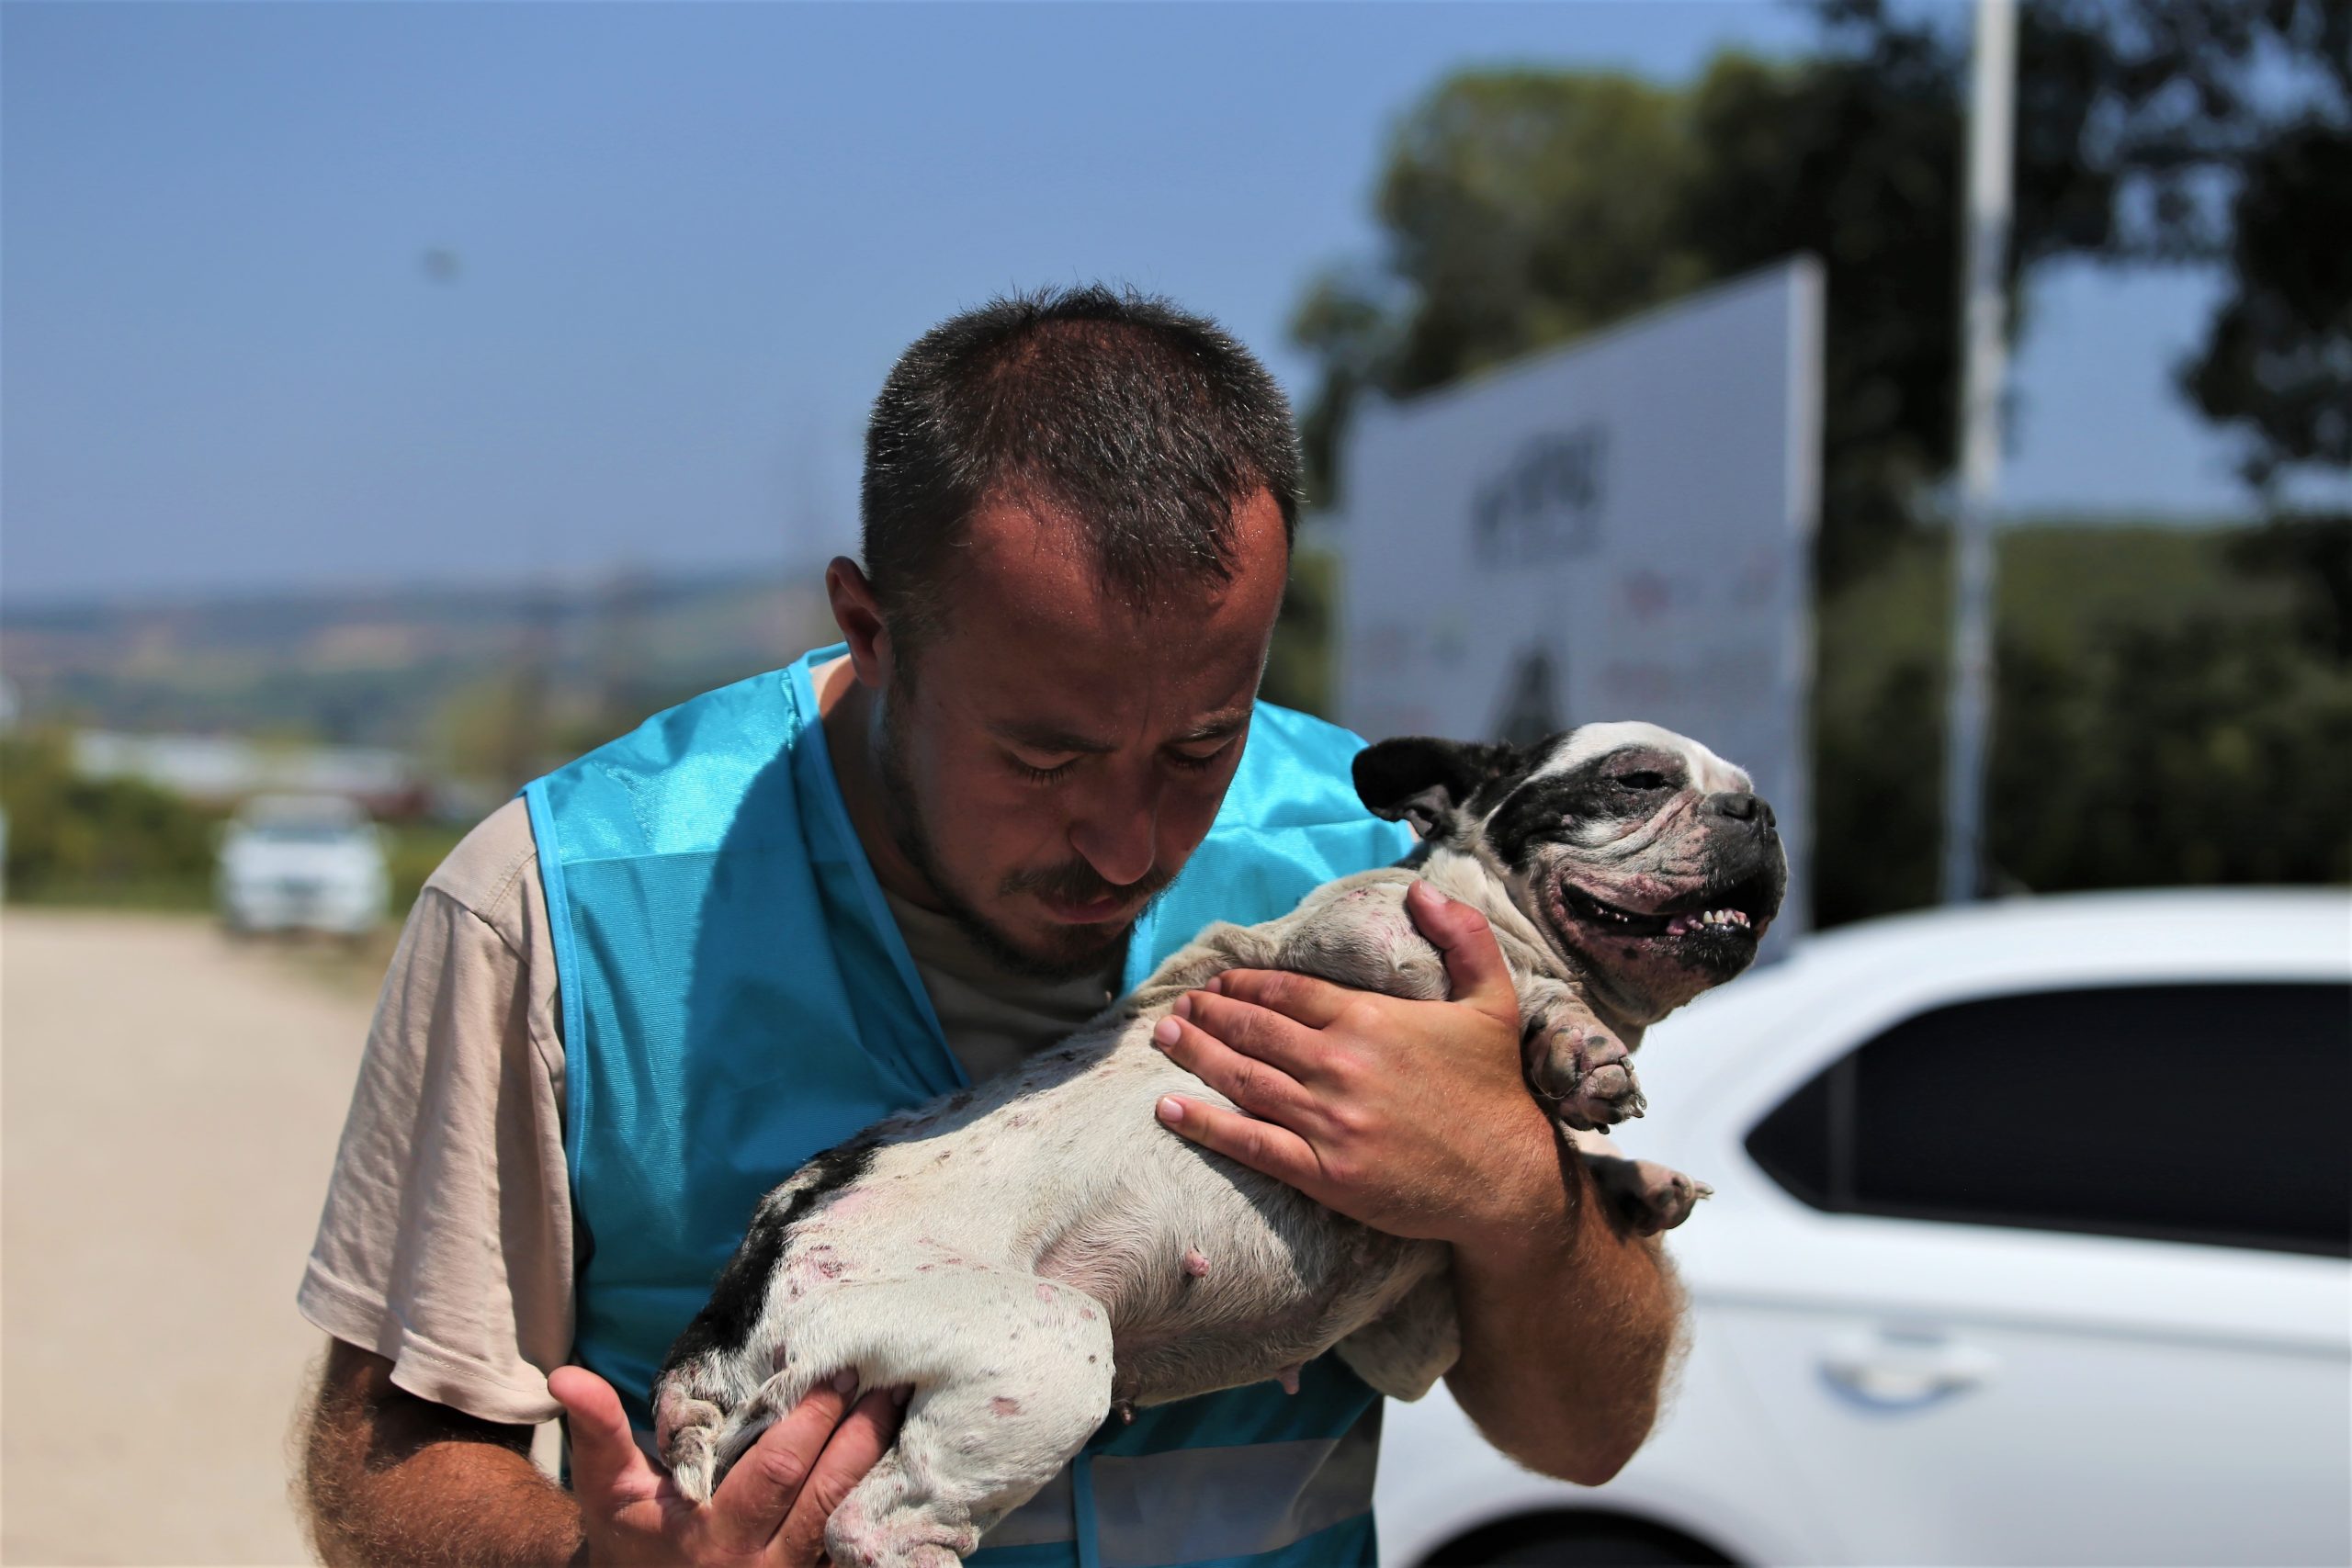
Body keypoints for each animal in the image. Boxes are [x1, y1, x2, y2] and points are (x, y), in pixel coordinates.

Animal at [649, 728, 1778, 1568]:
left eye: (1751, 796)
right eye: (1638, 780)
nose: (1759, 813)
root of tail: (724, 1316)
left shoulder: (1411, 1333)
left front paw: (1631, 1179)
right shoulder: (1364, 930)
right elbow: (1503, 977)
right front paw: (1569, 1038)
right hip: (1046, 1345)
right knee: (873, 1524)